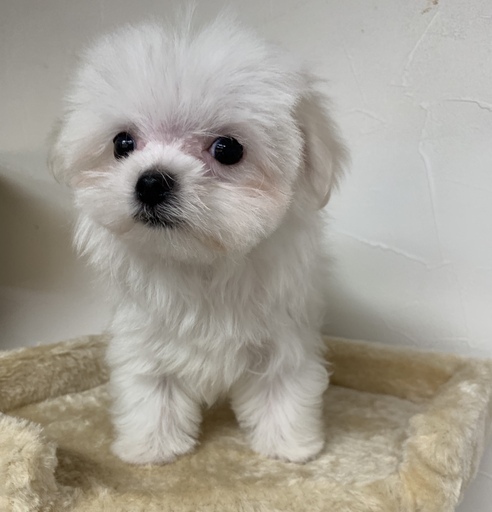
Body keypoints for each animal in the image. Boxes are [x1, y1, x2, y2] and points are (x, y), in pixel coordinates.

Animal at [49, 15, 346, 464]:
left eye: (227, 149)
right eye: (122, 143)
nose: (151, 182)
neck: (199, 263)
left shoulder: (285, 336)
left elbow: (282, 386)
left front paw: (288, 446)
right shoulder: (145, 337)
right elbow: (151, 388)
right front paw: (152, 447)